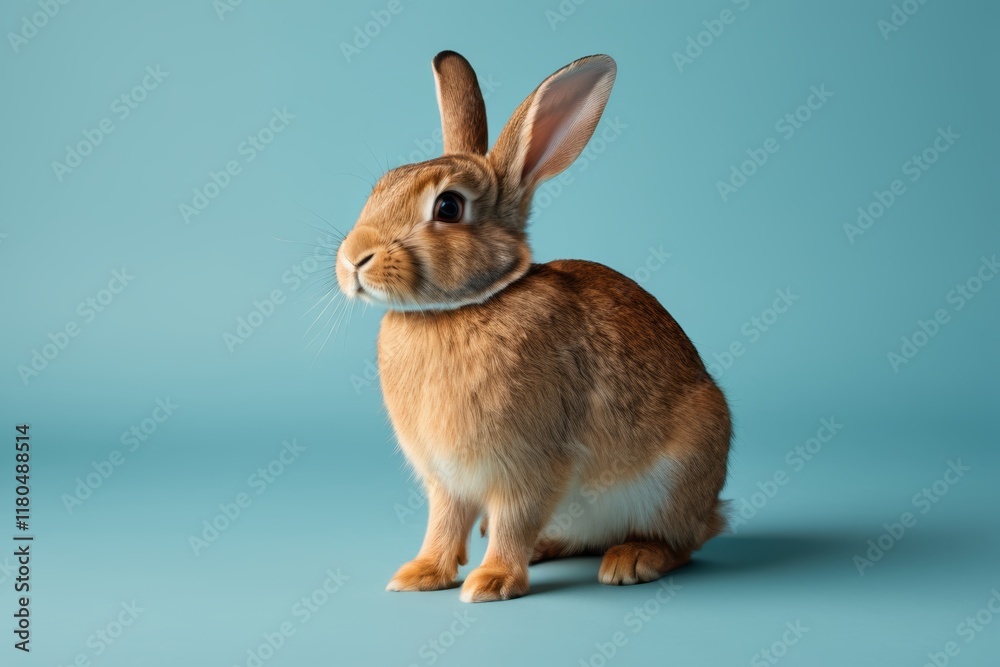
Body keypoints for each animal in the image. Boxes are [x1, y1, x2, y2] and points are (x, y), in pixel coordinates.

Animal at [335, 51, 731, 602]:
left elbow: (511, 521)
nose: (354, 258)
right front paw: (419, 575)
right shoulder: (447, 482)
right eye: (380, 187)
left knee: (683, 542)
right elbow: (443, 525)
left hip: (673, 483)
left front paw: (491, 582)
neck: (460, 308)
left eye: (448, 207)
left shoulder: (529, 466)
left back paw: (630, 560)